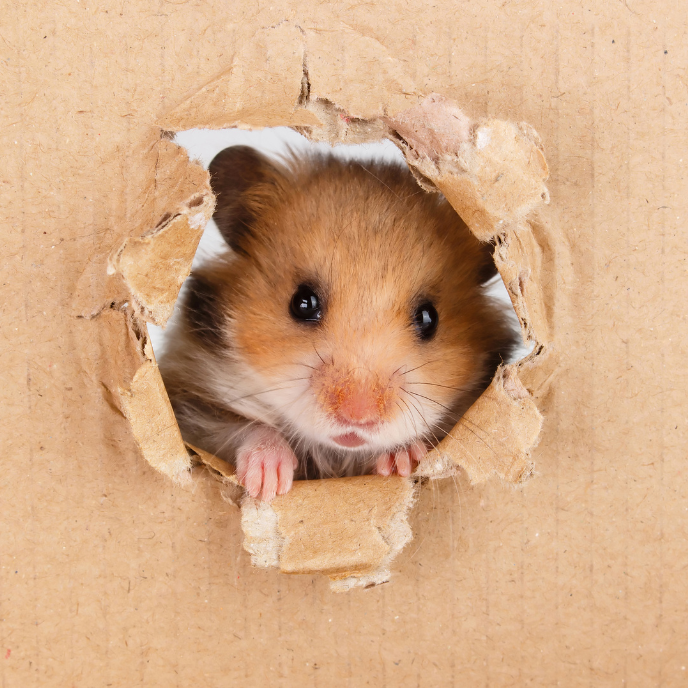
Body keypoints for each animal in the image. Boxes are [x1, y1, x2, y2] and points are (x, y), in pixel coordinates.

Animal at [159, 145, 517, 501]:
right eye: (302, 303)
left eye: (429, 318)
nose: (358, 417)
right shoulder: (191, 405)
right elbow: (245, 427)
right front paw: (269, 483)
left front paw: (401, 460)